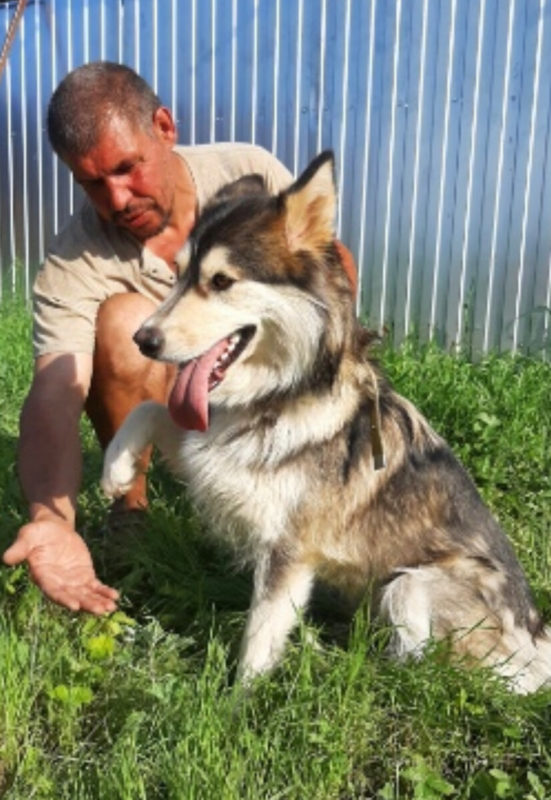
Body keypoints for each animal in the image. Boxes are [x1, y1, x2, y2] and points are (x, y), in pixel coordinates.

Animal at [102, 153, 551, 692]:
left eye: (222, 281)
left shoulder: (289, 550)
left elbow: (260, 635)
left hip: (410, 585)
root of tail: (538, 639)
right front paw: (116, 468)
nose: (142, 340)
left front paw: (239, 702)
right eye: (178, 274)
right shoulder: (211, 454)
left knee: (425, 668)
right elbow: (152, 409)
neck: (276, 396)